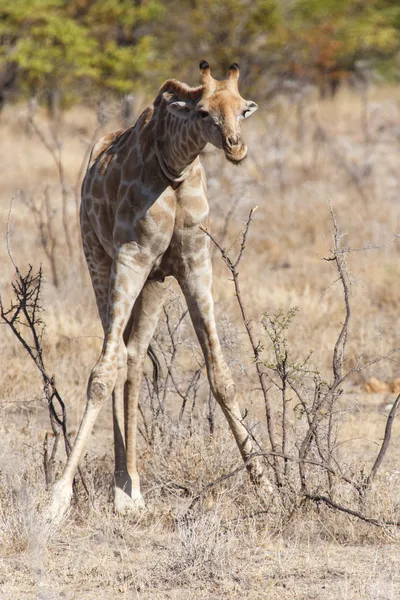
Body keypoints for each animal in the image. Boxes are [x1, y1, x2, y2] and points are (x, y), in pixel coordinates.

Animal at [49, 61, 262, 516]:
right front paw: (56, 499)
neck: (174, 168)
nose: (235, 147)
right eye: (204, 113)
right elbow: (100, 374)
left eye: (242, 109)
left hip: (156, 283)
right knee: (116, 358)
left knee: (133, 357)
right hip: (98, 259)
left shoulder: (193, 264)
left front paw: (268, 485)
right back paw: (122, 490)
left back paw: (129, 487)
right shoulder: (131, 258)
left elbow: (221, 375)